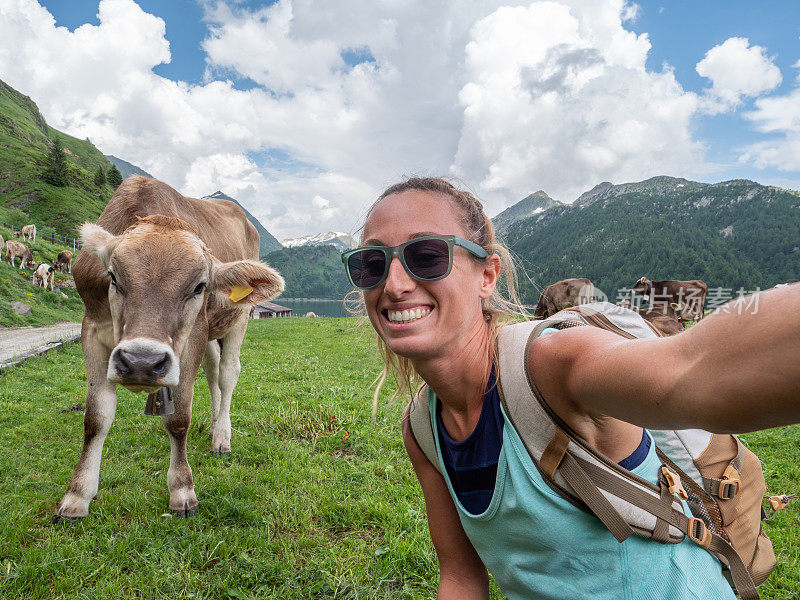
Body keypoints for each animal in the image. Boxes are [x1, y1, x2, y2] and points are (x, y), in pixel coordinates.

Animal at [52, 176, 284, 524]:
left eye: (200, 286)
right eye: (113, 277)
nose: (141, 362)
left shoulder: (193, 337)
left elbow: (178, 418)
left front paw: (182, 491)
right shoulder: (91, 329)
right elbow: (96, 417)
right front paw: (77, 495)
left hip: (239, 317)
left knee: (228, 374)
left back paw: (222, 436)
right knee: (212, 372)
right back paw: (213, 428)